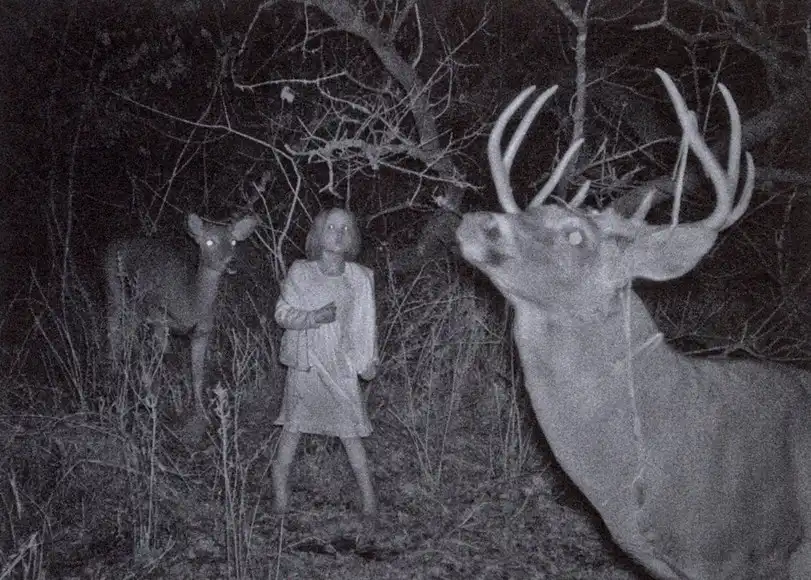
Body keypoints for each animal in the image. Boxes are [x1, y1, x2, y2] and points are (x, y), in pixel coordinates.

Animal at [105, 213, 259, 412]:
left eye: (233, 241)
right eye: (209, 241)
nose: (231, 261)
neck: (190, 304)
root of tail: (113, 243)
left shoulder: (202, 331)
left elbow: (197, 374)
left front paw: (200, 410)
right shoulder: (159, 319)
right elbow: (165, 360)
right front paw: (158, 400)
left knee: (126, 327)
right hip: (115, 287)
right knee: (114, 324)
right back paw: (114, 368)